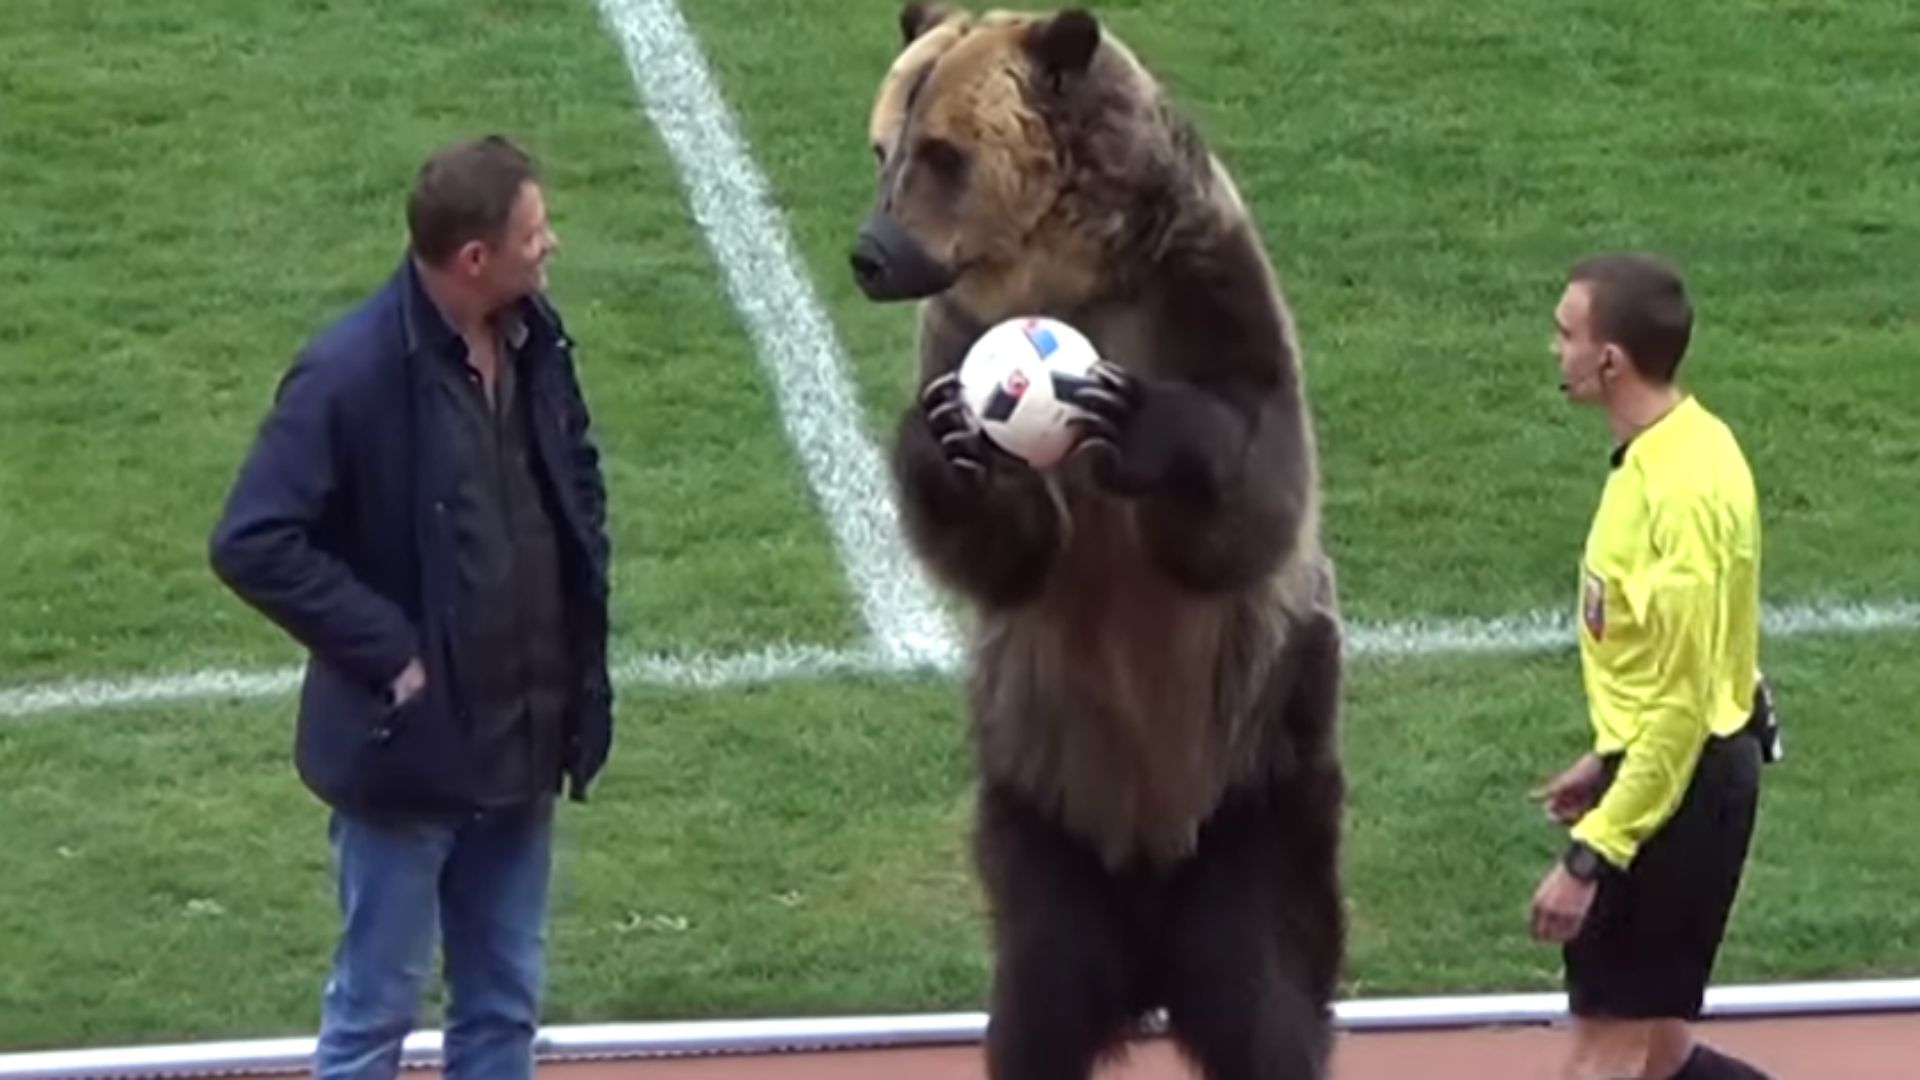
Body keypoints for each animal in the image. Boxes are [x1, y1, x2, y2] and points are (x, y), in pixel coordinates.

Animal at [849, 5, 1346, 1080]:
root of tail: (1152, 955)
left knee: (1265, 990)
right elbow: (1006, 555)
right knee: (1040, 992)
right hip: (1040, 799)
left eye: (942, 153)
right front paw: (954, 447)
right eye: (881, 145)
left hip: (1259, 778)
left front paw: (1139, 424)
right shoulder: (951, 330)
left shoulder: (1206, 288)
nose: (871, 251)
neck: (1068, 274)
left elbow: (1256, 491)